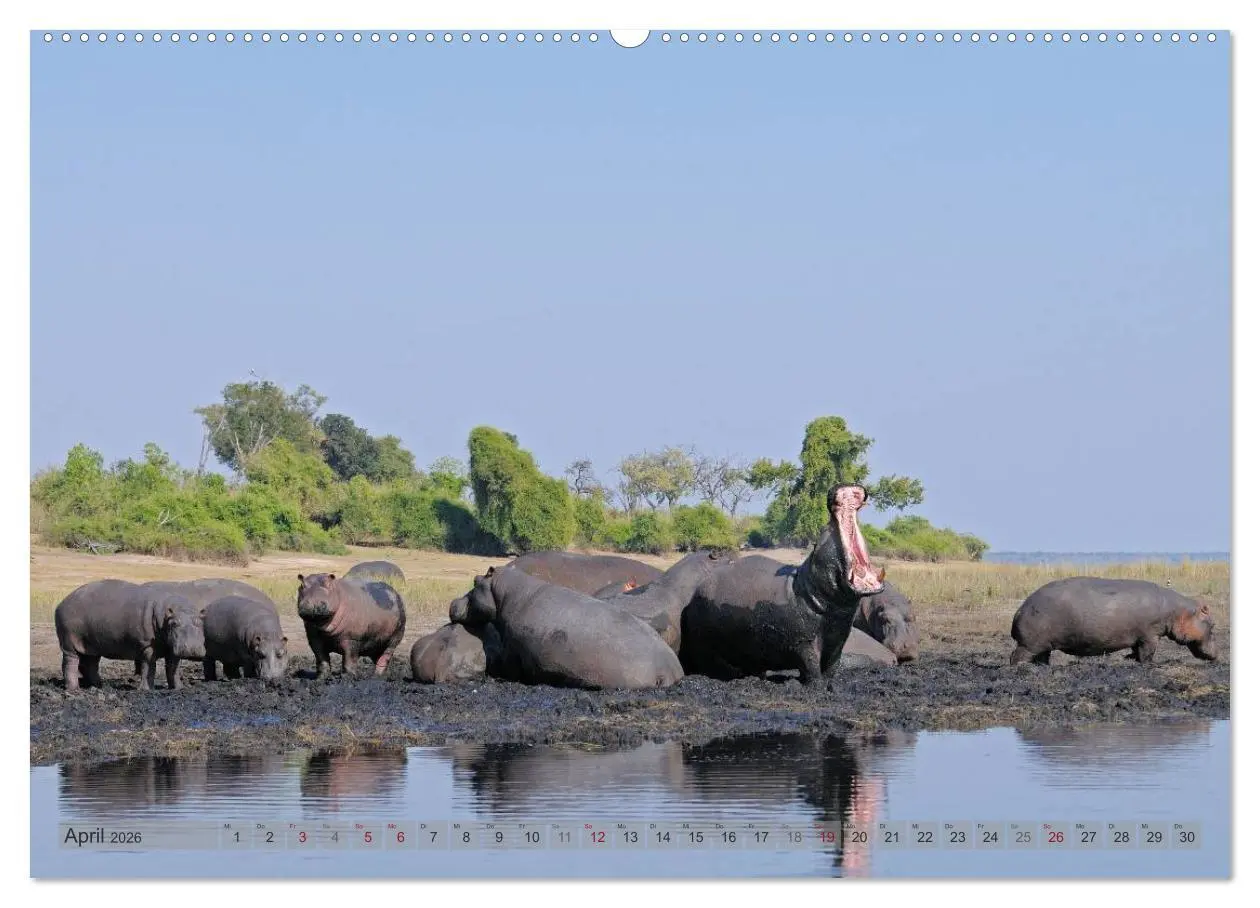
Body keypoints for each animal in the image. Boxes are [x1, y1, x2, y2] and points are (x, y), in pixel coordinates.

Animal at [54, 579, 207, 691]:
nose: (193, 648)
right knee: (70, 662)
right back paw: (73, 689)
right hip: (69, 641)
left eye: (200, 621)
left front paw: (179, 688)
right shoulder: (147, 646)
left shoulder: (172, 648)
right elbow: (149, 667)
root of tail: (61, 603)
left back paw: (98, 686)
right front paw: (146, 689)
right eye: (174, 623)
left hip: (91, 644)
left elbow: (173, 668)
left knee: (90, 663)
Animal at [449, 565, 684, 689]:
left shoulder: (513, 650)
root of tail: (673, 668)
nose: (452, 602)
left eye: (475, 581)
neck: (505, 593)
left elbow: (511, 668)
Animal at [678, 485, 885, 683]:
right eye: (822, 531)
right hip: (708, 647)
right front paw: (815, 686)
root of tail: (693, 597)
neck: (814, 591)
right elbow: (812, 668)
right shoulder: (804, 642)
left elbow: (831, 668)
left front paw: (829, 685)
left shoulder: (837, 642)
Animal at [1009, 577, 1220, 665]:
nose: (1217, 654)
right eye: (1213, 624)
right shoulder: (1151, 634)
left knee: (1042, 657)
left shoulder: (1140, 636)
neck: (1179, 611)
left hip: (1043, 645)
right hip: (1030, 644)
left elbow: (1136, 650)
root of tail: (1019, 610)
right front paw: (1148, 664)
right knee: (1016, 657)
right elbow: (1147, 653)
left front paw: (1129, 658)